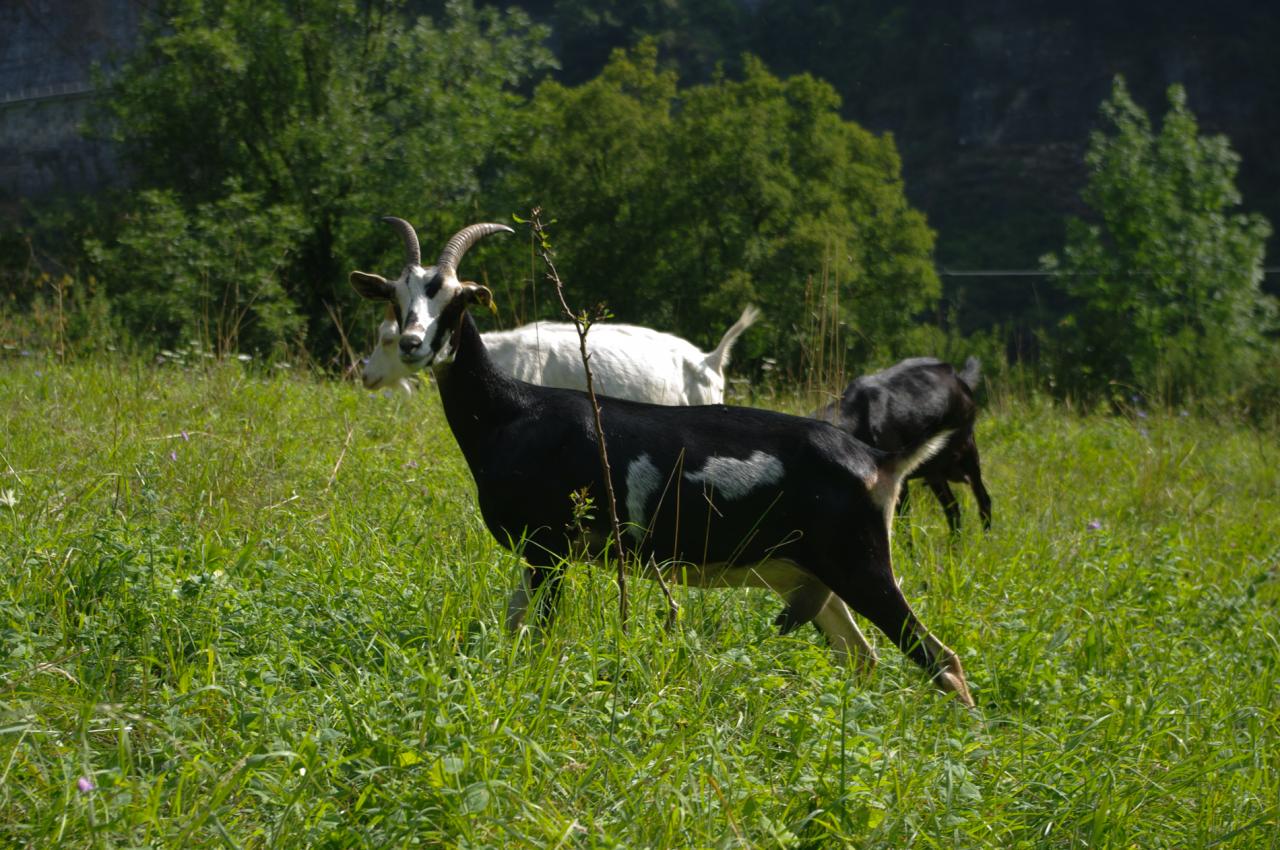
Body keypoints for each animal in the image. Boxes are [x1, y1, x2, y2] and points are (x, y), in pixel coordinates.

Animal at [814, 355, 993, 532]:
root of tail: (958, 377)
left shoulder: (897, 477)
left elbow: (902, 522)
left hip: (968, 453)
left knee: (983, 500)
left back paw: (985, 538)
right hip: (934, 471)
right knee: (952, 508)